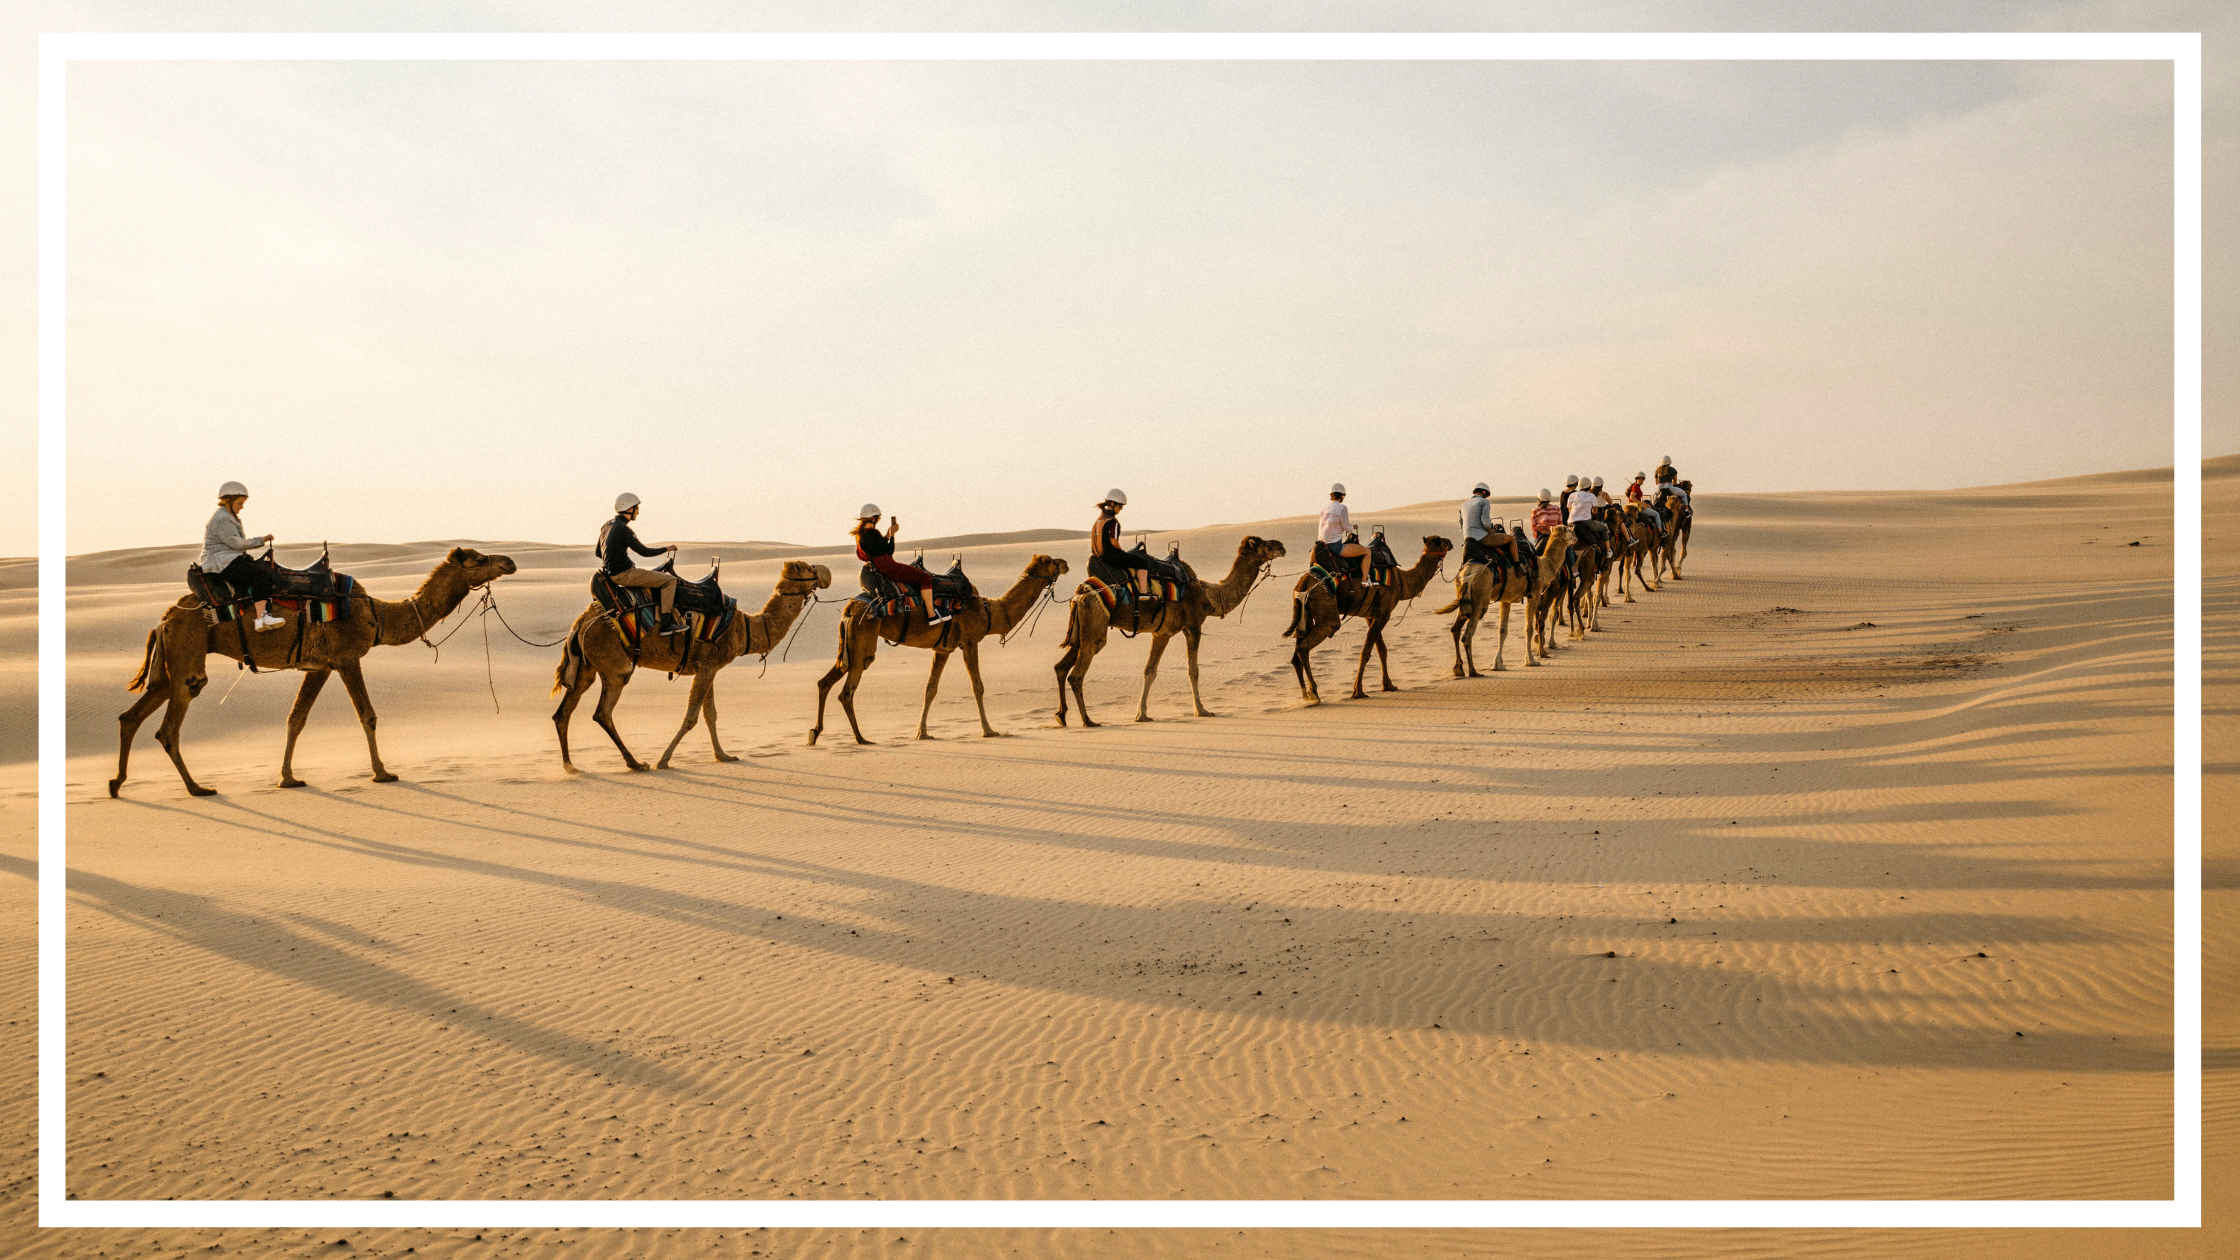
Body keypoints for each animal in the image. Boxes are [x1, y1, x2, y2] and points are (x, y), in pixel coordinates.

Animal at [112, 542, 519, 793]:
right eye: (479, 559)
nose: (510, 562)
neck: (377, 615)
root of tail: (165, 619)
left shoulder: (319, 666)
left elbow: (296, 719)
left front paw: (287, 777)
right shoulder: (347, 657)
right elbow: (367, 715)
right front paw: (382, 773)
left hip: (172, 659)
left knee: (133, 714)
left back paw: (118, 783)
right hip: (188, 654)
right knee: (169, 724)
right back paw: (197, 788)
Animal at [555, 560, 837, 775]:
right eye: (809, 567)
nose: (827, 573)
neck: (743, 628)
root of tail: (579, 624)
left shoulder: (707, 667)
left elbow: (710, 714)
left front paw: (723, 755)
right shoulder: (708, 665)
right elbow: (692, 716)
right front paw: (663, 760)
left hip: (587, 666)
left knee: (563, 712)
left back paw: (571, 766)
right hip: (614, 664)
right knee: (602, 712)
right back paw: (635, 763)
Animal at [810, 551, 1070, 744]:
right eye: (1051, 561)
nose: (1066, 563)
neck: (990, 611)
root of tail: (850, 608)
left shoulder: (942, 649)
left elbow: (930, 689)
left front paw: (922, 732)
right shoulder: (970, 642)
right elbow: (978, 686)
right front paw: (989, 730)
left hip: (849, 645)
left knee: (825, 682)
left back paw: (815, 733)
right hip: (863, 640)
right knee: (846, 691)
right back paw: (860, 738)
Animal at [1052, 531, 1290, 726]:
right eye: (1265, 545)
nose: (1282, 546)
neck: (1210, 595)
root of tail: (1079, 594)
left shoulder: (1161, 632)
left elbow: (1150, 670)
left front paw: (1142, 714)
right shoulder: (1194, 625)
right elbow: (1193, 670)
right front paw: (1202, 710)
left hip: (1081, 633)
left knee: (1061, 668)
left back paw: (1062, 716)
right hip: (1095, 629)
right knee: (1077, 675)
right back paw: (1087, 720)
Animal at [1281, 531, 1451, 699]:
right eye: (1440, 540)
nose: (1450, 542)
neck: (1402, 581)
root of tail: (1303, 582)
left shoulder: (1371, 615)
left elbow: (1381, 649)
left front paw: (1388, 685)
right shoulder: (1384, 613)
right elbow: (1366, 652)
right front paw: (1358, 691)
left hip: (1305, 613)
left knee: (1297, 652)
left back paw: (1305, 695)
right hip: (1325, 608)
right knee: (1307, 644)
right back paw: (1314, 693)